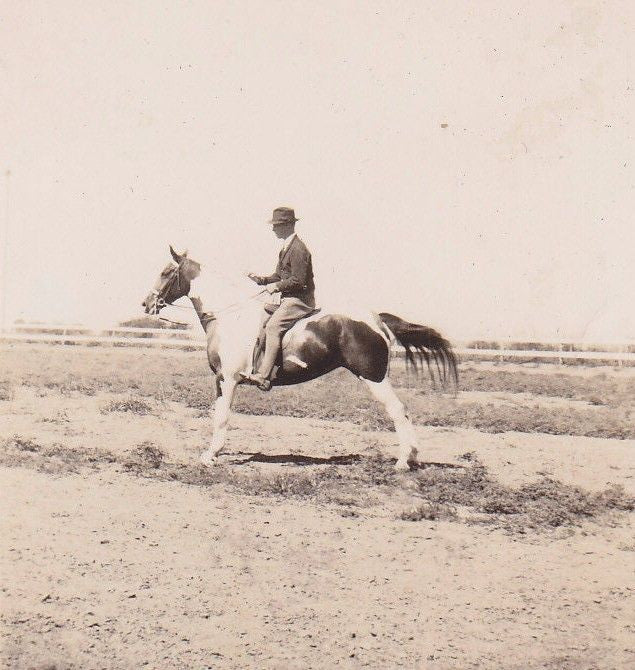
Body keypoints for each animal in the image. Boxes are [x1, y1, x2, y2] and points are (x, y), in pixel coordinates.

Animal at [142, 246, 458, 470]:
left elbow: (221, 417)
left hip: (374, 378)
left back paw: (405, 461)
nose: (146, 304)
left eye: (167, 272)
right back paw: (412, 459)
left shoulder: (226, 379)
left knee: (399, 411)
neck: (229, 316)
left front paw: (210, 455)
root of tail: (376, 319)